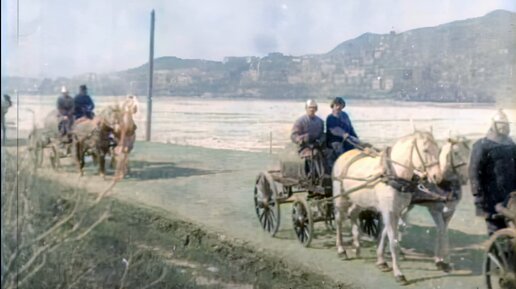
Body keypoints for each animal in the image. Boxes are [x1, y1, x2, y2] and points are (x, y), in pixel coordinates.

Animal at [332, 130, 442, 284]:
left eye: (438, 149)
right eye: (425, 150)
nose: (437, 176)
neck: (393, 175)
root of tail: (343, 154)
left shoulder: (394, 211)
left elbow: (383, 236)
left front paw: (381, 261)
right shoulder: (389, 212)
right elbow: (393, 241)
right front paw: (398, 273)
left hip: (359, 200)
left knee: (353, 213)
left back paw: (357, 246)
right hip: (340, 197)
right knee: (338, 220)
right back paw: (341, 249)